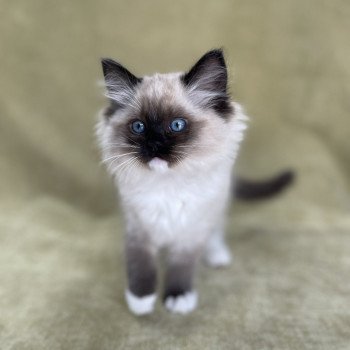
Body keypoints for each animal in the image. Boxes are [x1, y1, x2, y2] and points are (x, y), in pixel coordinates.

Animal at [95, 50, 292, 318]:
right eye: (139, 127)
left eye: (177, 125)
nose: (154, 146)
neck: (169, 186)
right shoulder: (138, 227)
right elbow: (140, 264)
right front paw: (141, 300)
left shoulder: (191, 229)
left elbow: (181, 266)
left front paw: (178, 298)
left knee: (216, 230)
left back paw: (218, 256)